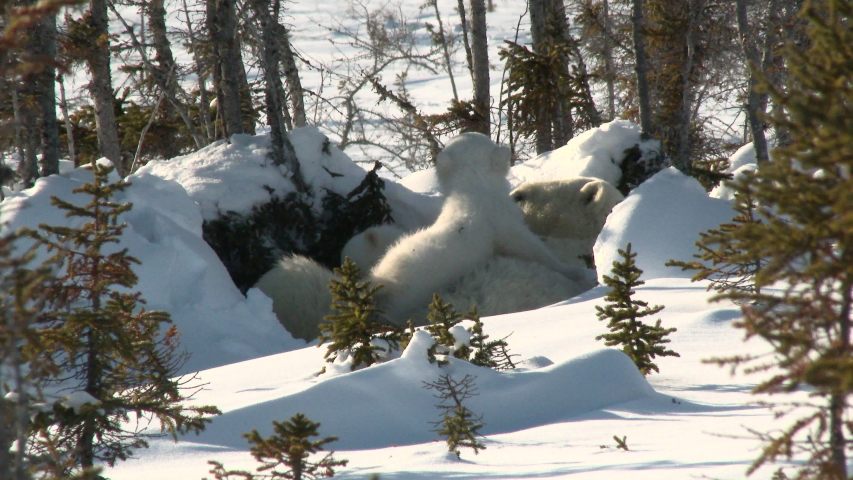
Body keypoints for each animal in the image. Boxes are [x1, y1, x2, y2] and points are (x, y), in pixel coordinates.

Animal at [370, 133, 588, 324]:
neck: (475, 187)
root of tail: (382, 281)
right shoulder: (500, 219)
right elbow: (527, 245)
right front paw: (573, 270)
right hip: (410, 292)